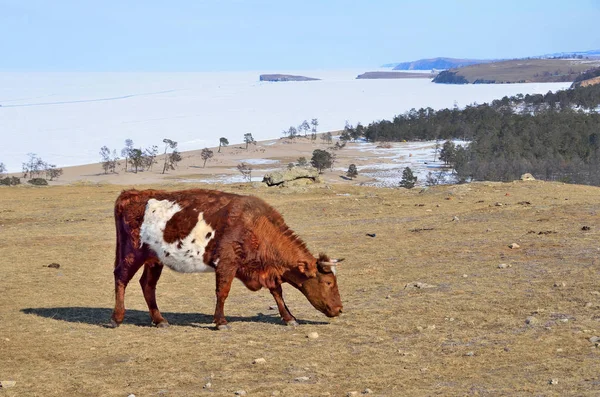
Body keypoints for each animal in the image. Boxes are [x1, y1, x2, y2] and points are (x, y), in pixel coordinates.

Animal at [108, 188, 342, 328]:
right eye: (328, 282)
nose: (340, 309)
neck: (255, 226)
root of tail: (130, 194)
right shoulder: (227, 264)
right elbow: (223, 292)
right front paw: (221, 321)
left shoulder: (267, 270)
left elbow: (277, 292)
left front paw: (289, 318)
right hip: (132, 253)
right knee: (121, 277)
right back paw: (117, 317)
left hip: (154, 259)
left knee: (147, 284)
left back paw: (159, 320)